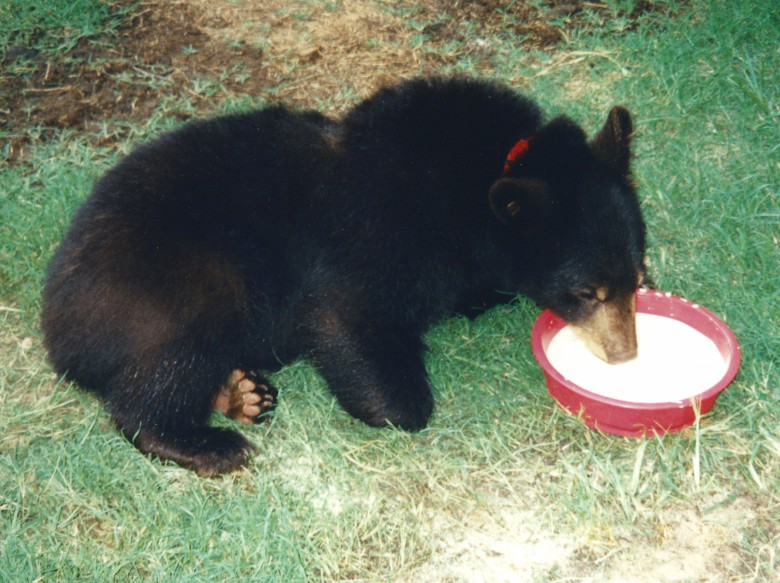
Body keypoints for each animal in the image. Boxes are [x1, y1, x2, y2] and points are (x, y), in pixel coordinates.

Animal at [41, 77, 647, 476]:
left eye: (638, 278)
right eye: (585, 292)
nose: (625, 355)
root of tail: (60, 325)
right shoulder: (376, 232)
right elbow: (344, 318)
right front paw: (393, 399)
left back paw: (239, 392)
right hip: (185, 277)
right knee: (158, 372)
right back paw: (210, 443)